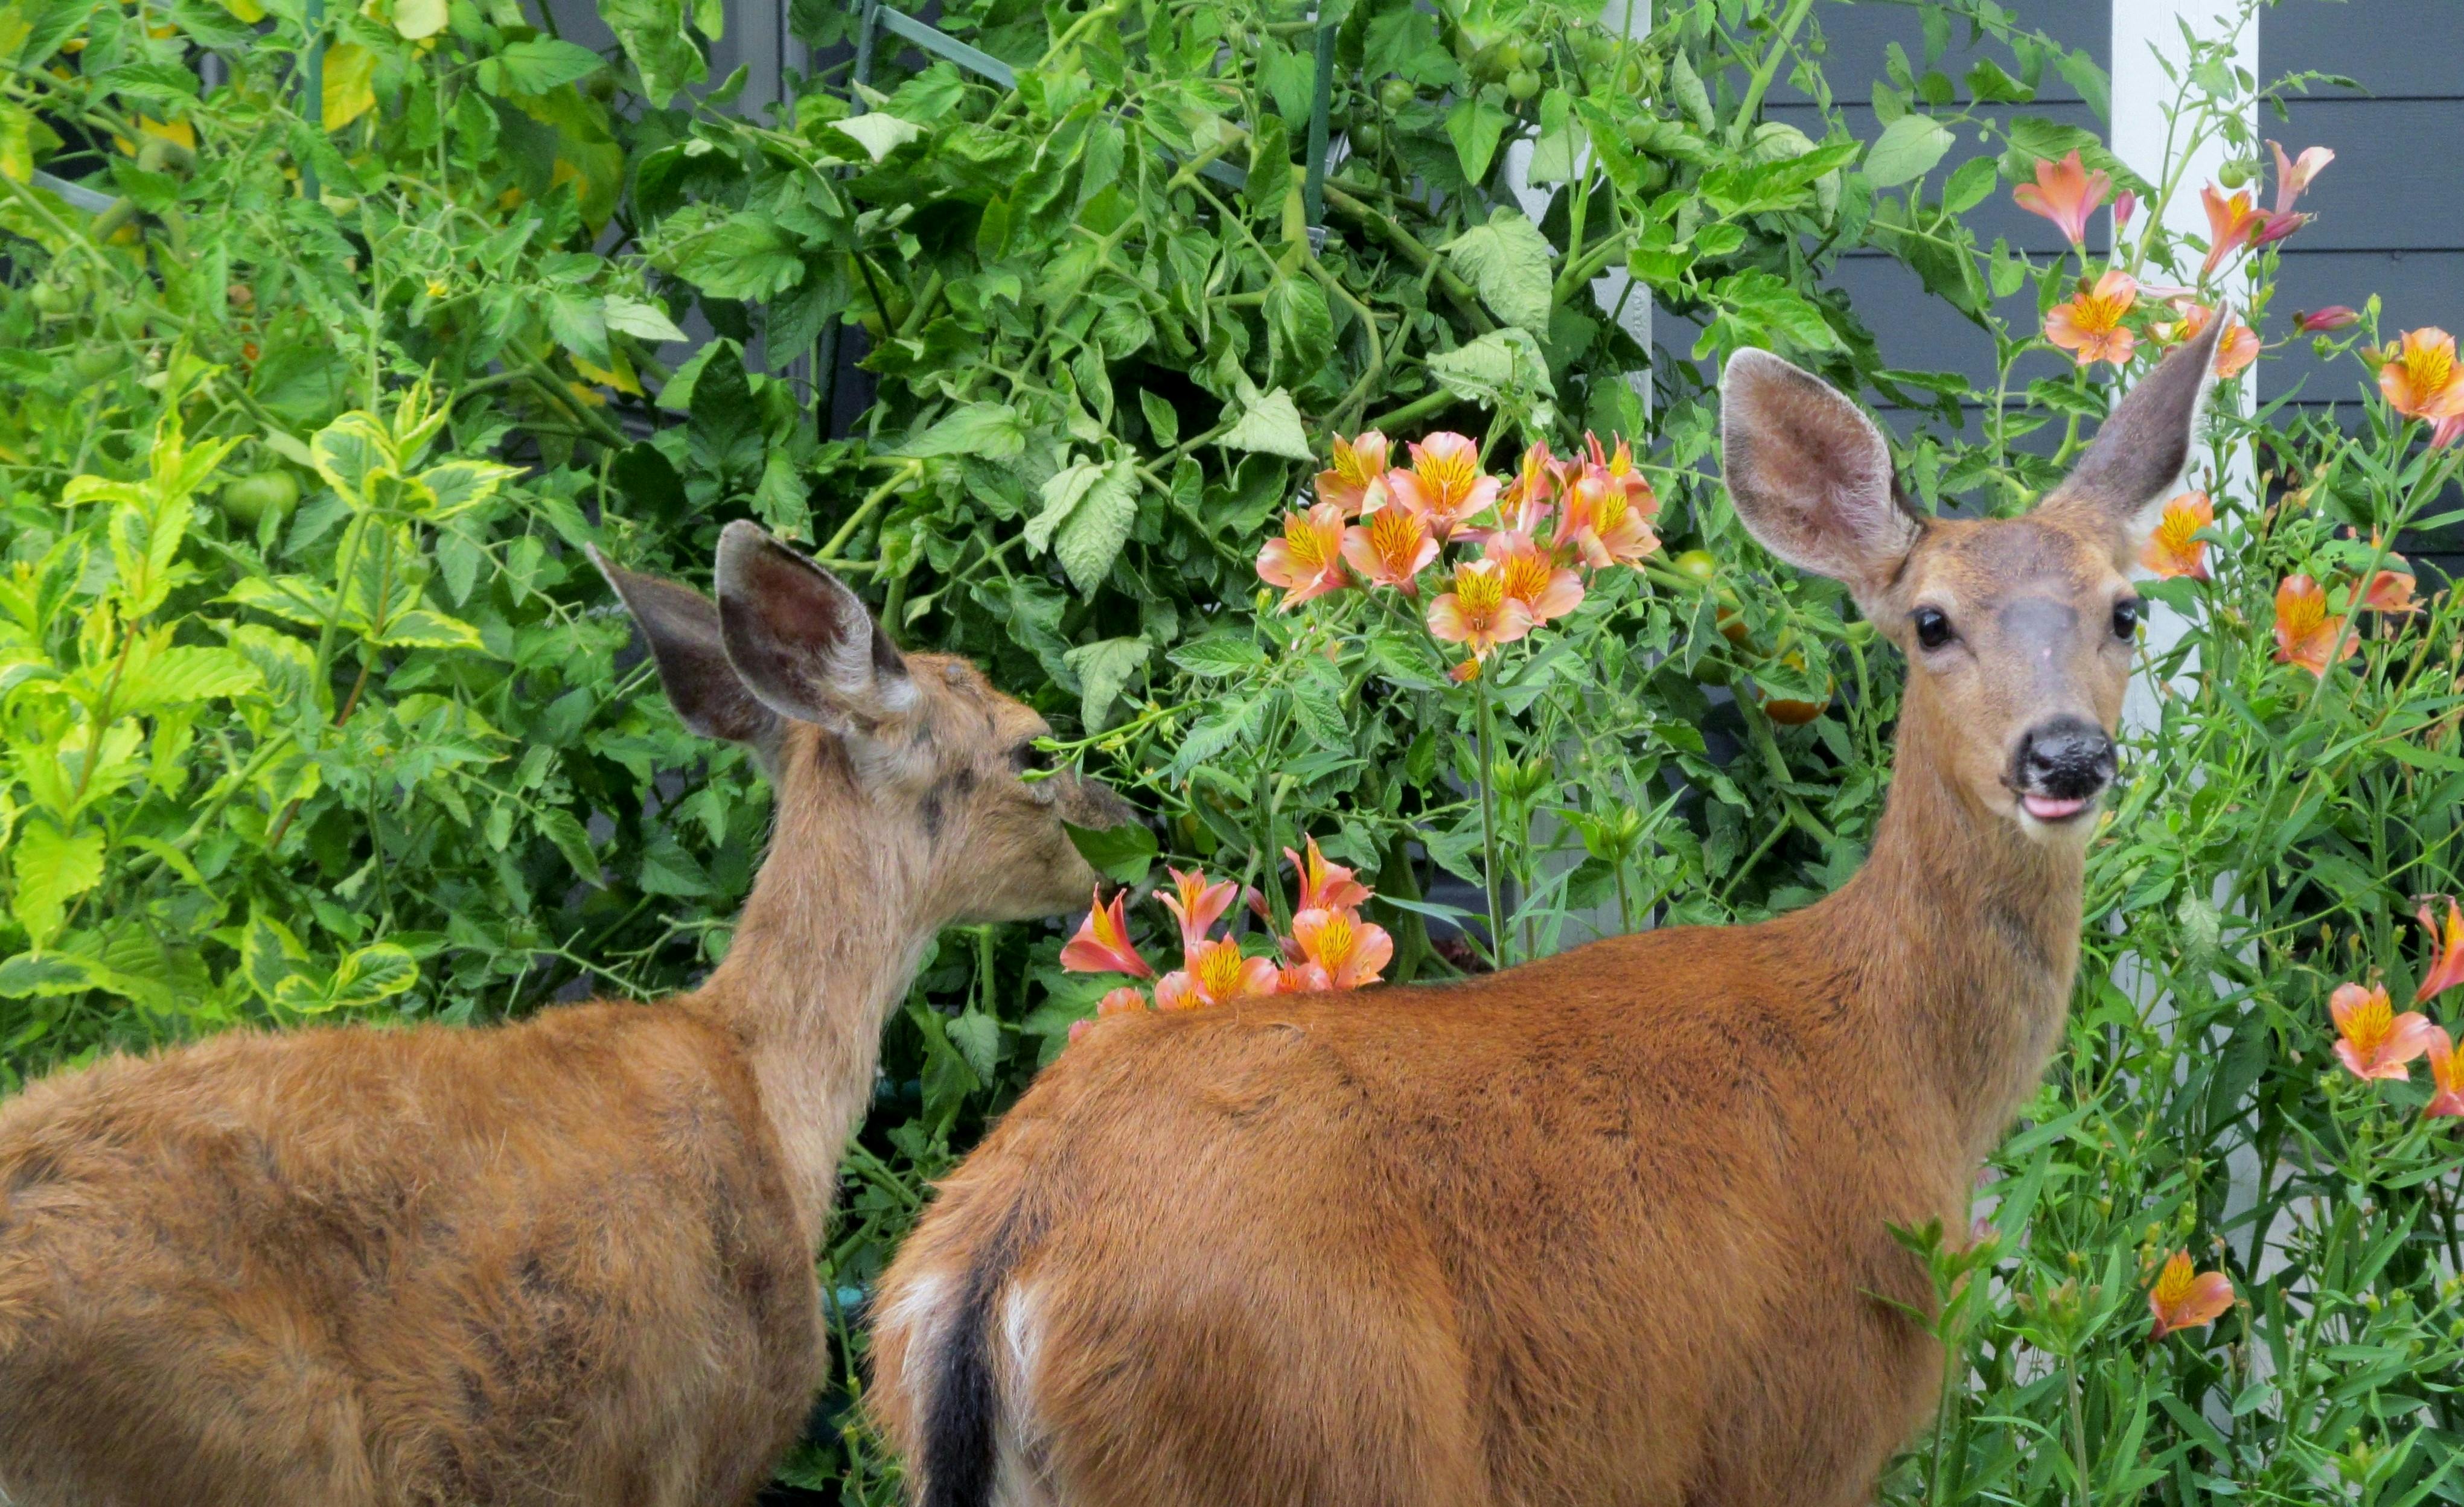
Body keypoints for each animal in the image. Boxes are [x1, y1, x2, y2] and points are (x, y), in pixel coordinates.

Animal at [872, 320, 2237, 1507]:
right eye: (1931, 621)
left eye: (2124, 610)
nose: (2063, 756)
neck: (1908, 1069)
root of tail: (999, 1265)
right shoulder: (1799, 1426)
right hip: (1325, 1442)